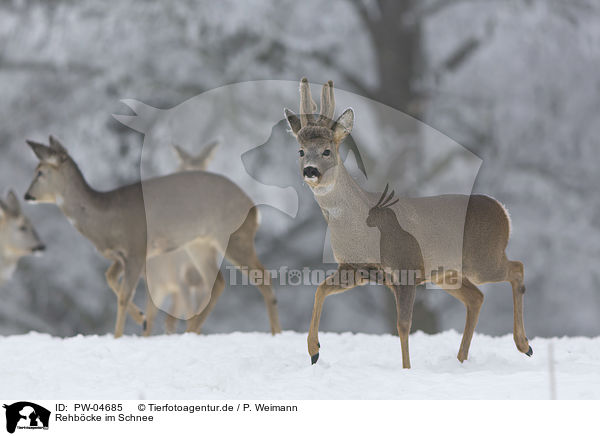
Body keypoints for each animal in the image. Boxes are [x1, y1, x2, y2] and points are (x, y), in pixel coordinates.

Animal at [23, 136, 282, 338]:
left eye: (40, 172)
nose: (26, 195)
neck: (104, 219)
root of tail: (254, 208)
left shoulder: (137, 247)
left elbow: (124, 295)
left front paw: (119, 336)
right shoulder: (123, 256)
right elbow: (110, 279)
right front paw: (141, 319)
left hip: (234, 236)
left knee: (262, 277)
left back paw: (275, 333)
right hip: (199, 244)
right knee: (216, 282)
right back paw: (191, 331)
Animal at [284, 79, 528, 368]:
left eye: (327, 150)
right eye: (300, 151)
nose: (310, 170)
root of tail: (503, 211)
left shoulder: (405, 267)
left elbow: (403, 325)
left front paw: (407, 369)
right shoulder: (356, 269)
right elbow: (320, 289)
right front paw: (314, 350)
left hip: (482, 259)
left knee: (516, 268)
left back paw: (524, 345)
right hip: (448, 273)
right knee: (477, 297)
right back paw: (461, 359)